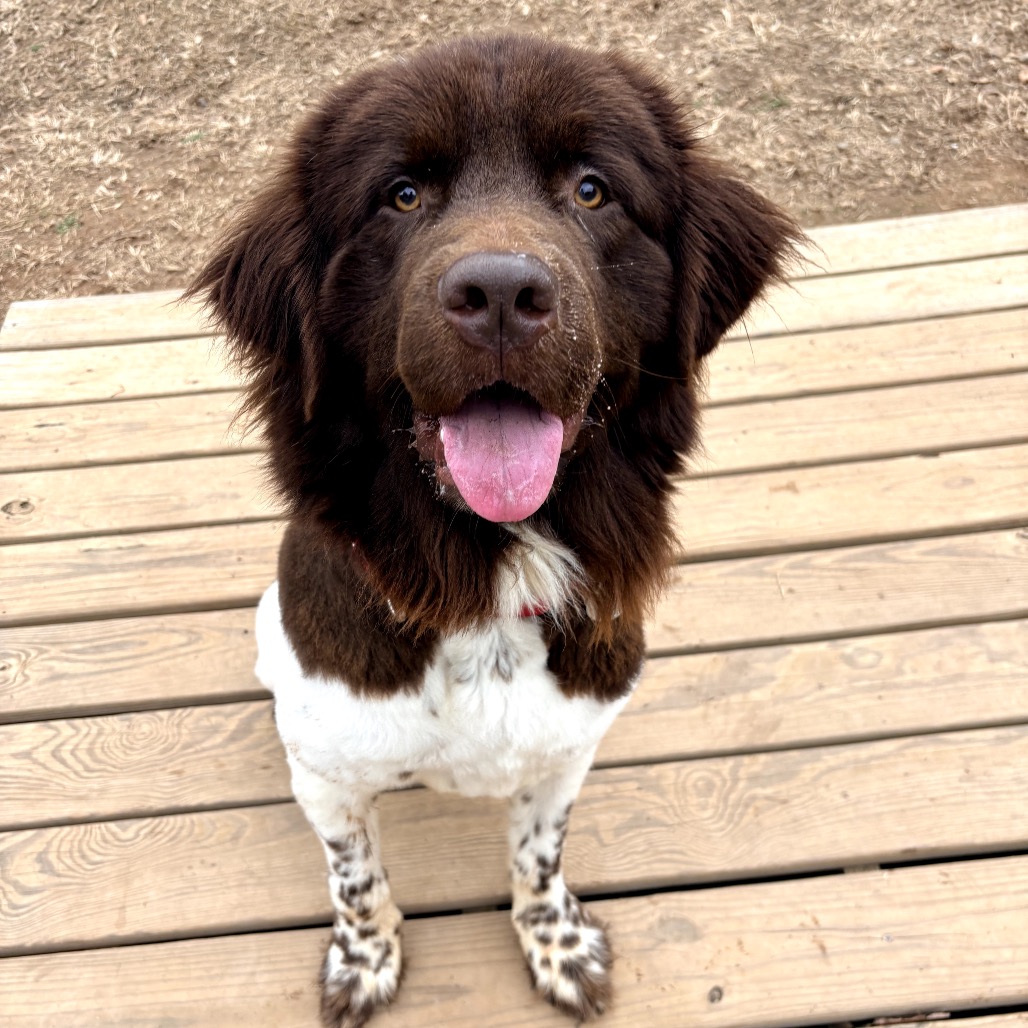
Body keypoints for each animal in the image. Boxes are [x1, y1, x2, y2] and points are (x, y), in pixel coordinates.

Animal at [190, 34, 797, 1027]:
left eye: (592, 189)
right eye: (401, 194)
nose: (503, 292)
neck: (486, 585)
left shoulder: (569, 750)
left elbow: (539, 855)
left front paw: (557, 945)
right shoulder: (328, 774)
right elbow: (355, 876)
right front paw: (365, 960)